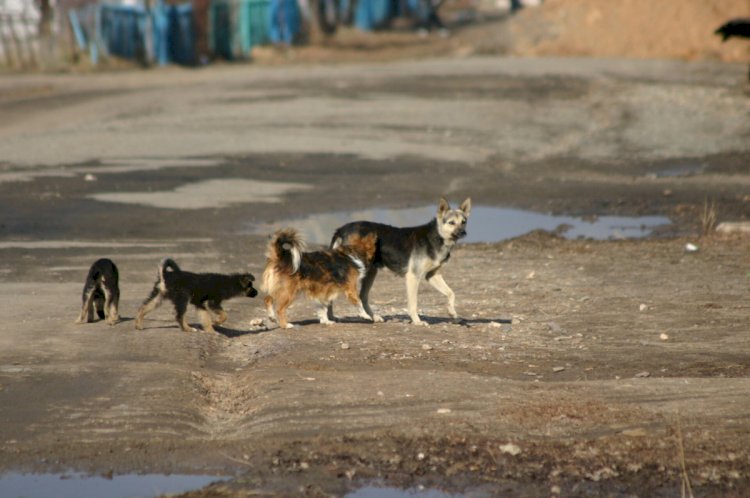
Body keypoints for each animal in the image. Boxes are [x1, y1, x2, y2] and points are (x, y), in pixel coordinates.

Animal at [328, 196, 470, 324]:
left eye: (463, 222)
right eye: (451, 222)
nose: (463, 233)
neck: (436, 237)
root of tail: (341, 229)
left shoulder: (432, 276)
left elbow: (451, 293)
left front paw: (452, 312)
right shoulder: (413, 277)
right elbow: (413, 304)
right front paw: (417, 322)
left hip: (371, 272)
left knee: (362, 297)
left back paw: (368, 317)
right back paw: (331, 318)